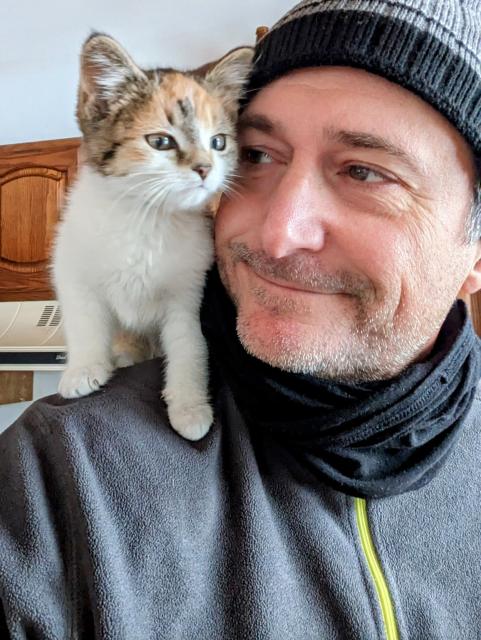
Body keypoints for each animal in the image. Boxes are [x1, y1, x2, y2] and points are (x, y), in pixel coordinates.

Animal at [53, 31, 253, 440]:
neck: (147, 218)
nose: (205, 168)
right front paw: (83, 369)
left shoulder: (189, 293)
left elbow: (189, 345)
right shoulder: (73, 266)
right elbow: (84, 321)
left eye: (219, 143)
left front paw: (189, 406)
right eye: (161, 142)